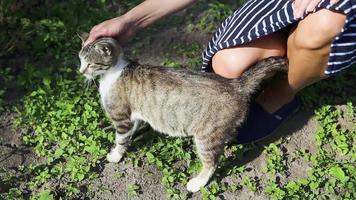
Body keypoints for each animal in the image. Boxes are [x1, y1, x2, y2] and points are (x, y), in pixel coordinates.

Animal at [78, 35, 290, 192]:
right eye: (80, 60)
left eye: (89, 64)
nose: (80, 72)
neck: (114, 72)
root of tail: (235, 84)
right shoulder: (133, 116)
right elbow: (133, 131)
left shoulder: (121, 118)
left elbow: (121, 140)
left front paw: (115, 155)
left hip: (206, 137)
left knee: (212, 163)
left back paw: (197, 183)